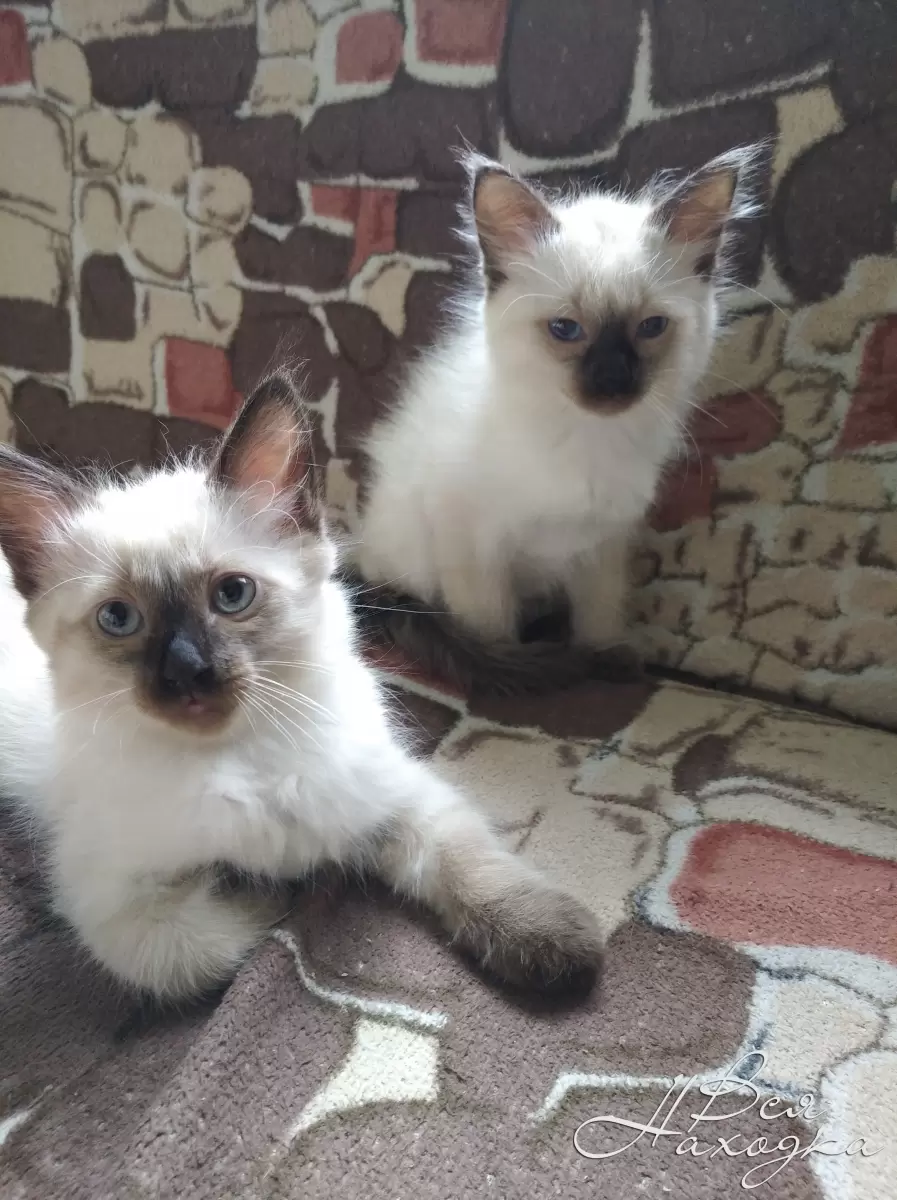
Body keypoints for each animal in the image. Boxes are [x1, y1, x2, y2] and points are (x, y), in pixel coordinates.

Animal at [0, 372, 602, 1002]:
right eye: (119, 618)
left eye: (232, 594)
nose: (187, 672)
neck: (244, 756)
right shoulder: (113, 902)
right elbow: (208, 944)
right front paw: (277, 880)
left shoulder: (396, 794)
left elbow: (467, 861)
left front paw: (551, 943)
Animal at [347, 147, 758, 695]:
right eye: (565, 329)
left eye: (651, 327)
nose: (612, 382)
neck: (584, 439)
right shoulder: (473, 545)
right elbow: (490, 631)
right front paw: (508, 674)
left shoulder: (603, 543)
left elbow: (599, 614)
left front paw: (604, 658)